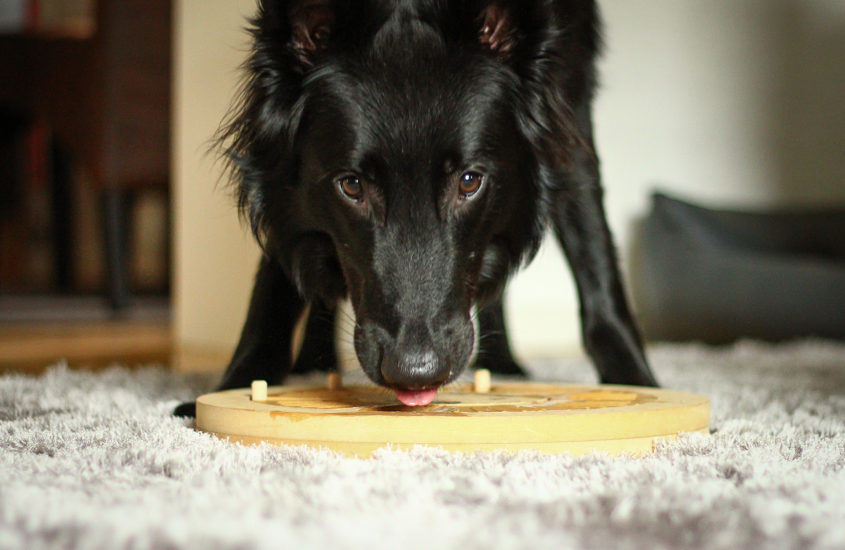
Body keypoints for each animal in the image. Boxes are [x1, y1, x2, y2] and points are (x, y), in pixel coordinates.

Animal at [175, 0, 656, 416]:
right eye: (352, 185)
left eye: (469, 181)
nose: (415, 373)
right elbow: (274, 285)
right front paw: (236, 382)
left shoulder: (570, 113)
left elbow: (596, 260)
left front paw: (638, 381)